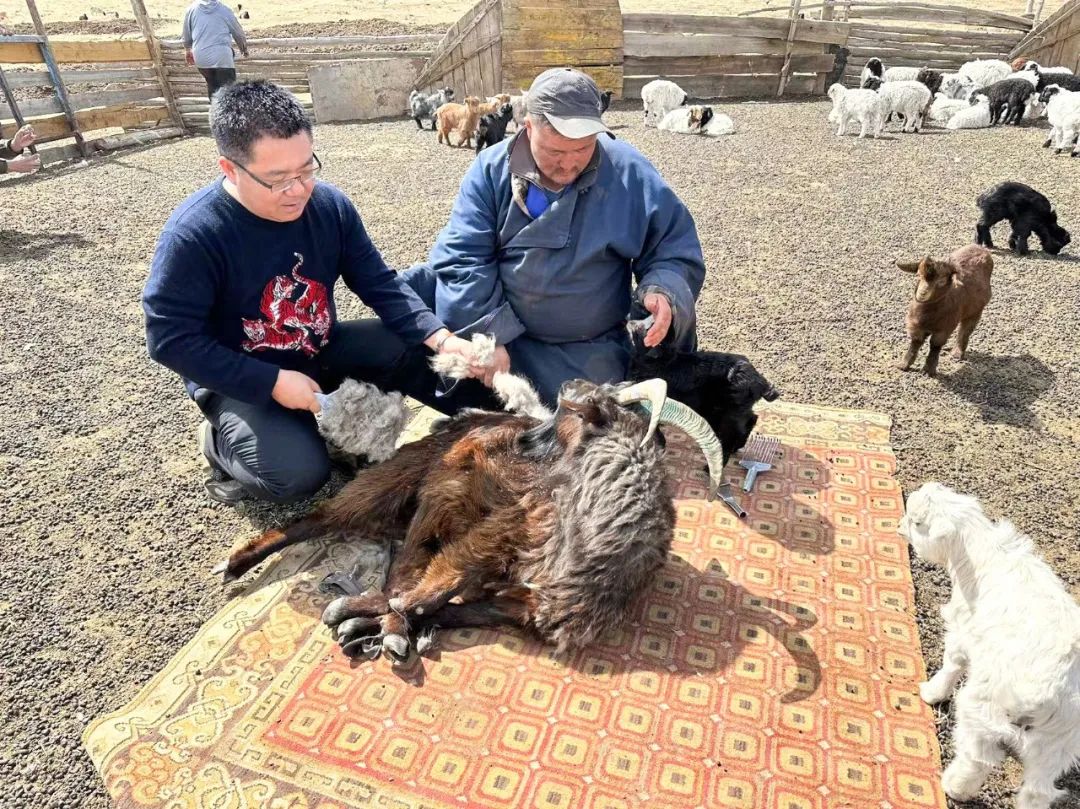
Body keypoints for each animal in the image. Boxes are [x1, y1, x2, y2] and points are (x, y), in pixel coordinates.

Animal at [217, 373, 725, 661]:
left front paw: (372, 628)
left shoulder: (521, 608)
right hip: (410, 482)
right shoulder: (490, 534)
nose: (516, 438)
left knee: (399, 565)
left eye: (579, 408)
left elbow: (442, 608)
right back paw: (238, 564)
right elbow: (419, 595)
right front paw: (369, 623)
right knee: (324, 521)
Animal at [626, 319, 786, 464]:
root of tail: (758, 379)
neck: (662, 362)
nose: (629, 321)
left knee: (733, 434)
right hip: (733, 409)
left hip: (727, 412)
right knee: (751, 420)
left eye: (641, 329)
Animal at [898, 244, 989, 373]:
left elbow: (935, 345)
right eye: (918, 275)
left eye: (941, 281)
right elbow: (916, 342)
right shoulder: (915, 325)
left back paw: (957, 353)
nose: (922, 294)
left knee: (965, 330)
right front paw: (904, 364)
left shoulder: (945, 328)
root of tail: (979, 247)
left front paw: (929, 369)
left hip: (975, 310)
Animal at [898, 479, 1080, 807]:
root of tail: (1046, 695)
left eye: (917, 522)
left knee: (977, 759)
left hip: (983, 710)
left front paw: (931, 692)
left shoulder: (962, 628)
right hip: (1057, 744)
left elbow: (953, 662)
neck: (984, 553)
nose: (898, 527)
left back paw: (954, 787)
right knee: (1038, 791)